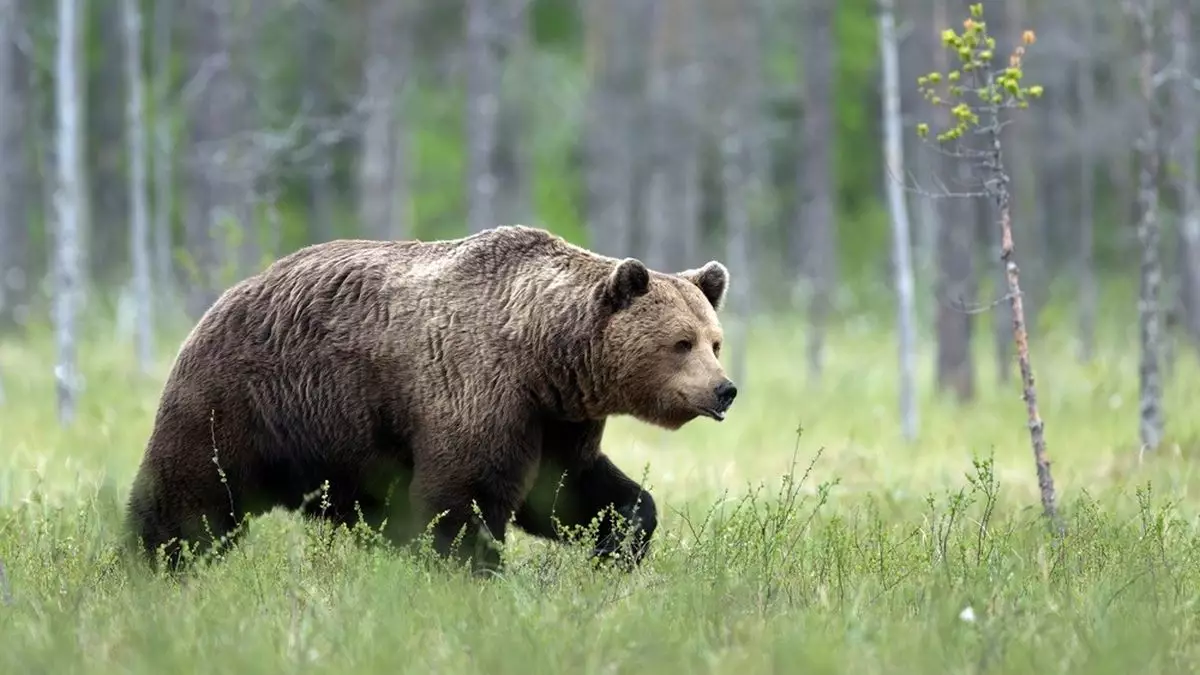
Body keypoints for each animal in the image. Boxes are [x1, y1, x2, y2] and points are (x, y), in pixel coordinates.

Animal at [124, 224, 738, 575]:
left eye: (714, 341)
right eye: (680, 343)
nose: (724, 389)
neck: (546, 356)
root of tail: (224, 298)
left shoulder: (555, 418)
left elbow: (568, 489)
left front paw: (617, 544)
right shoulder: (477, 386)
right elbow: (464, 496)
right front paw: (473, 570)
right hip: (243, 399)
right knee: (192, 494)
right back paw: (153, 563)